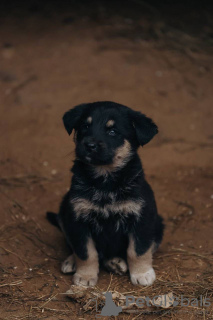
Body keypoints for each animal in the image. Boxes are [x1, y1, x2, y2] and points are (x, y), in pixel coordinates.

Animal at [47, 101, 164, 286]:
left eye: (113, 131)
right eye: (85, 126)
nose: (89, 145)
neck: (105, 181)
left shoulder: (142, 217)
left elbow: (138, 250)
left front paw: (142, 274)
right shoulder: (77, 219)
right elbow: (86, 252)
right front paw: (85, 276)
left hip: (159, 224)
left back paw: (116, 262)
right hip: (64, 211)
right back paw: (72, 261)